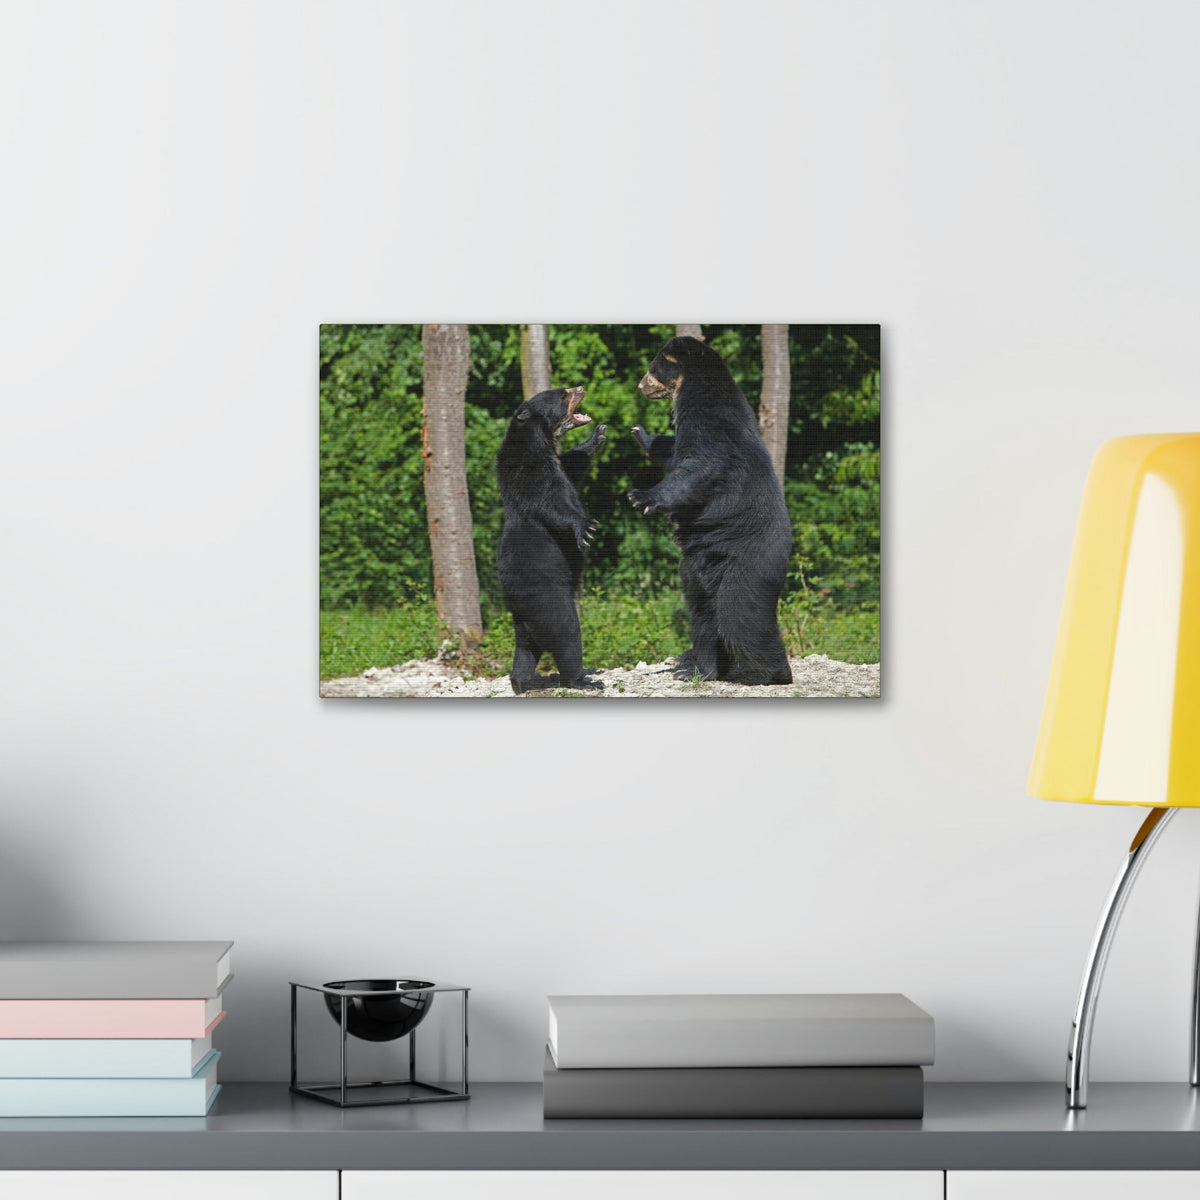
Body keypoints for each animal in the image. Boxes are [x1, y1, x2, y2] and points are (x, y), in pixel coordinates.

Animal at [497, 386, 606, 694]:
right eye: (562, 394)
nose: (580, 387)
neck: (542, 442)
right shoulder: (528, 469)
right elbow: (550, 502)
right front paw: (586, 527)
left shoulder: (559, 464)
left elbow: (574, 464)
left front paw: (597, 435)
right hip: (547, 595)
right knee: (567, 633)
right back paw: (582, 679)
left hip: (522, 619)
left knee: (525, 650)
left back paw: (522, 681)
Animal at [628, 335, 793, 685]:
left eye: (652, 368)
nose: (640, 386)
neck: (692, 387)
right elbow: (672, 454)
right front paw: (641, 434)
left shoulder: (711, 424)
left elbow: (699, 466)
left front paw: (640, 496)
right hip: (699, 567)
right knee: (703, 613)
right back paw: (701, 668)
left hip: (748, 563)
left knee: (740, 613)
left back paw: (767, 672)